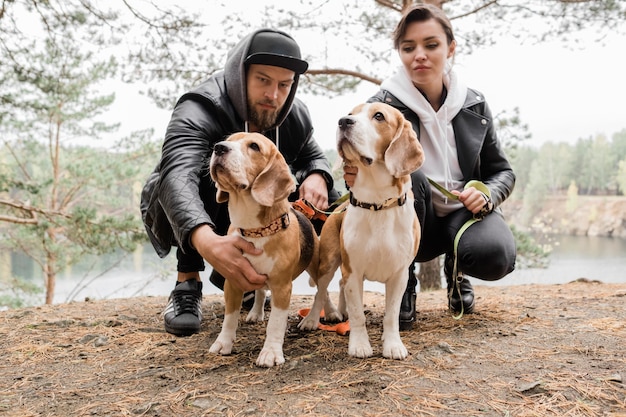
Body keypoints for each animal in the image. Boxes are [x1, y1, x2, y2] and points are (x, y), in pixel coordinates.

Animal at [208, 132, 316, 366]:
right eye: (229, 139)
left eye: (254, 147)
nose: (218, 148)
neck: (254, 230)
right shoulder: (233, 280)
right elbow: (230, 317)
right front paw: (223, 342)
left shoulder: (282, 287)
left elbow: (275, 323)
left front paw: (271, 352)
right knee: (259, 290)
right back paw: (256, 312)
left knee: (322, 292)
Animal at [298, 102, 424, 360]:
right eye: (351, 114)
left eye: (379, 116)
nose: (343, 121)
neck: (377, 202)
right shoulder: (353, 270)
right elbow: (358, 315)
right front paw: (359, 344)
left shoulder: (399, 275)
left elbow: (391, 315)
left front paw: (392, 344)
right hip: (329, 262)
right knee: (321, 293)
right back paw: (312, 319)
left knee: (339, 287)